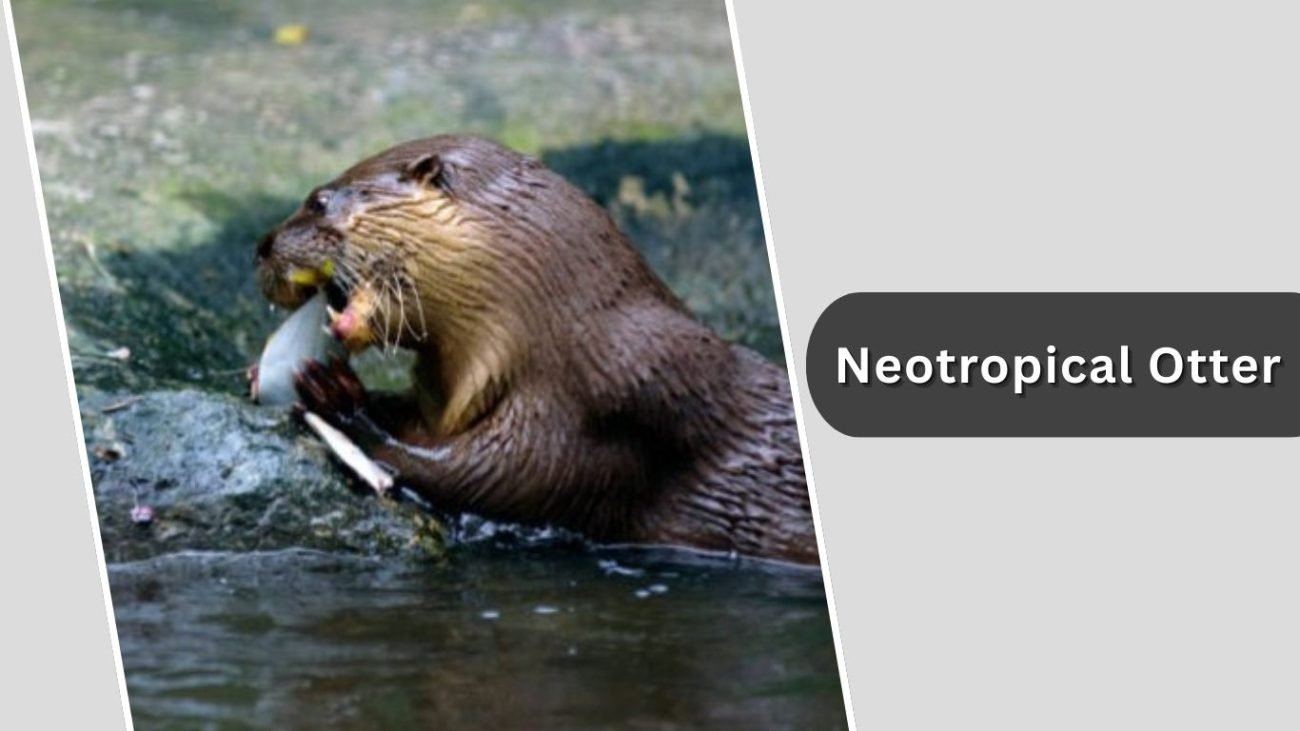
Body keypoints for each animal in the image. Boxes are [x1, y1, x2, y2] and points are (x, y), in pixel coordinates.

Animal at [255, 135, 817, 565]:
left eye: (319, 201)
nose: (261, 246)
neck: (560, 322)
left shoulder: (596, 404)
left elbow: (491, 475)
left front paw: (341, 400)